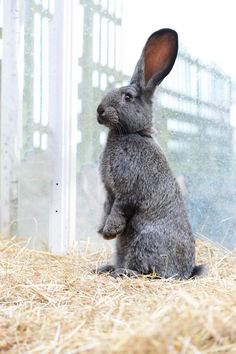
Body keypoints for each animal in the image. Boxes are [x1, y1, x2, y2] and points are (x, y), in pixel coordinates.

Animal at [94, 28, 205, 280]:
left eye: (128, 97)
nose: (99, 110)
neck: (131, 133)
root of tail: (186, 272)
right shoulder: (109, 191)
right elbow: (106, 207)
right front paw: (101, 230)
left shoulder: (128, 189)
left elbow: (119, 209)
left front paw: (109, 231)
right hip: (123, 248)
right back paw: (105, 268)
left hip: (144, 242)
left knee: (150, 272)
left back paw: (122, 273)